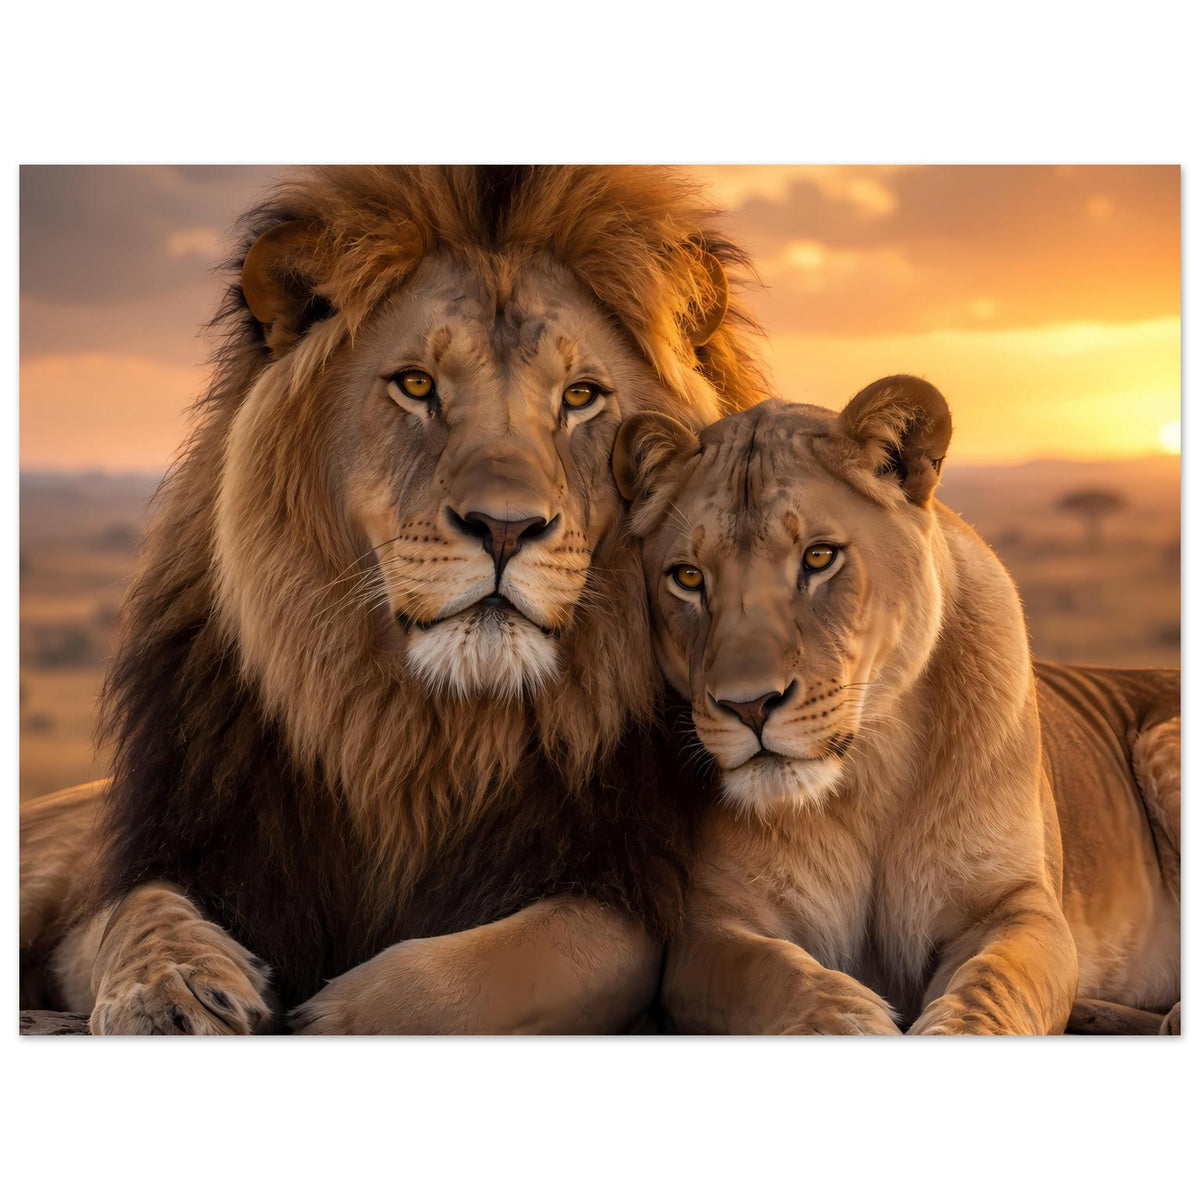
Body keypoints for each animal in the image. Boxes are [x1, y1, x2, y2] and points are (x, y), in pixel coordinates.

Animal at [19, 165, 768, 1034]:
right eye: (417, 386)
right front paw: (169, 989)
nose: (505, 527)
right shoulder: (175, 850)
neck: (420, 738)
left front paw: (332, 1018)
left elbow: (493, 970)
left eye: (582, 397)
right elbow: (134, 910)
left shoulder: (624, 889)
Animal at [612, 377, 1180, 1034]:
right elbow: (782, 979)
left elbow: (991, 986)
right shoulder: (709, 930)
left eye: (819, 557)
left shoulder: (1017, 905)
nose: (749, 707)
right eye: (687, 577)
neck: (869, 775)